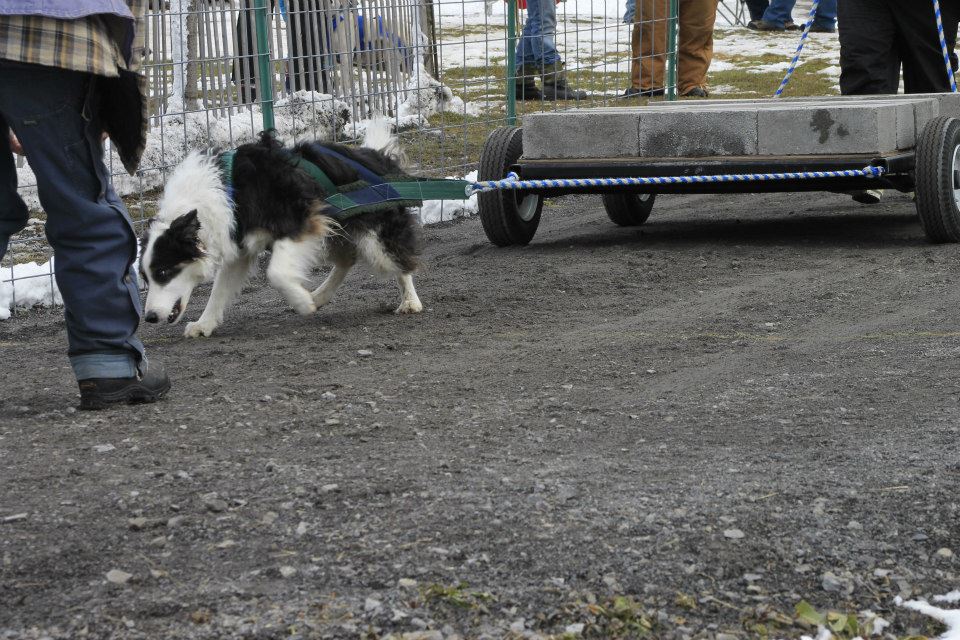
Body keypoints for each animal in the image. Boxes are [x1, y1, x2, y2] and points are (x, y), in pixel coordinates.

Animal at [140, 121, 424, 340]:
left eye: (163, 272)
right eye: (145, 278)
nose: (149, 318)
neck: (225, 193)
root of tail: (376, 155)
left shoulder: (300, 220)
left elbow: (275, 272)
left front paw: (300, 302)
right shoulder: (239, 245)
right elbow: (219, 290)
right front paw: (204, 324)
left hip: (376, 241)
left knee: (401, 262)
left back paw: (410, 301)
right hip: (335, 229)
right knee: (347, 259)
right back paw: (319, 296)